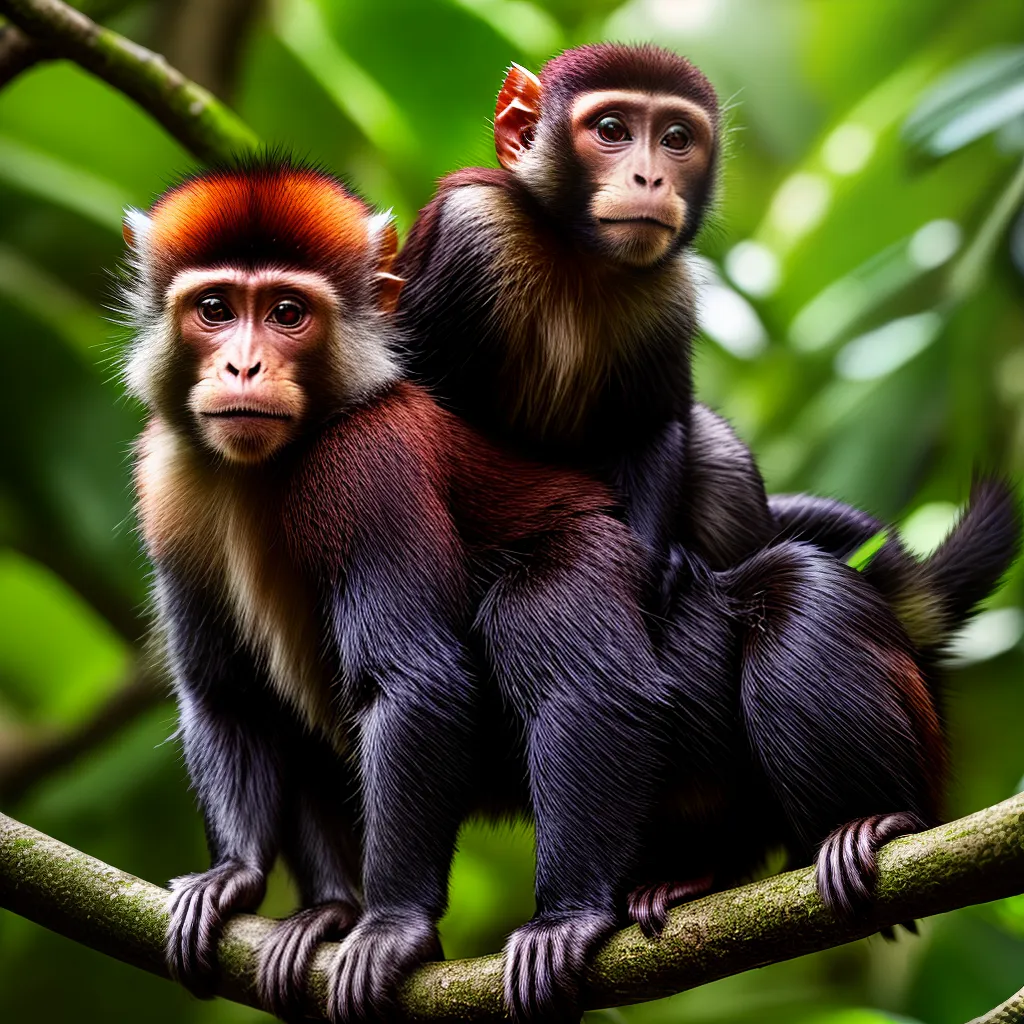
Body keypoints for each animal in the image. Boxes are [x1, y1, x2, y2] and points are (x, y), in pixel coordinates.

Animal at [121, 155, 689, 1024]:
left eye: (286, 313)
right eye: (214, 309)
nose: (243, 367)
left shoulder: (368, 461)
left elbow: (412, 681)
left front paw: (393, 926)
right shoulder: (168, 481)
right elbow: (226, 695)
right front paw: (237, 875)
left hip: (588, 545)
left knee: (569, 665)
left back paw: (570, 912)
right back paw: (328, 910)